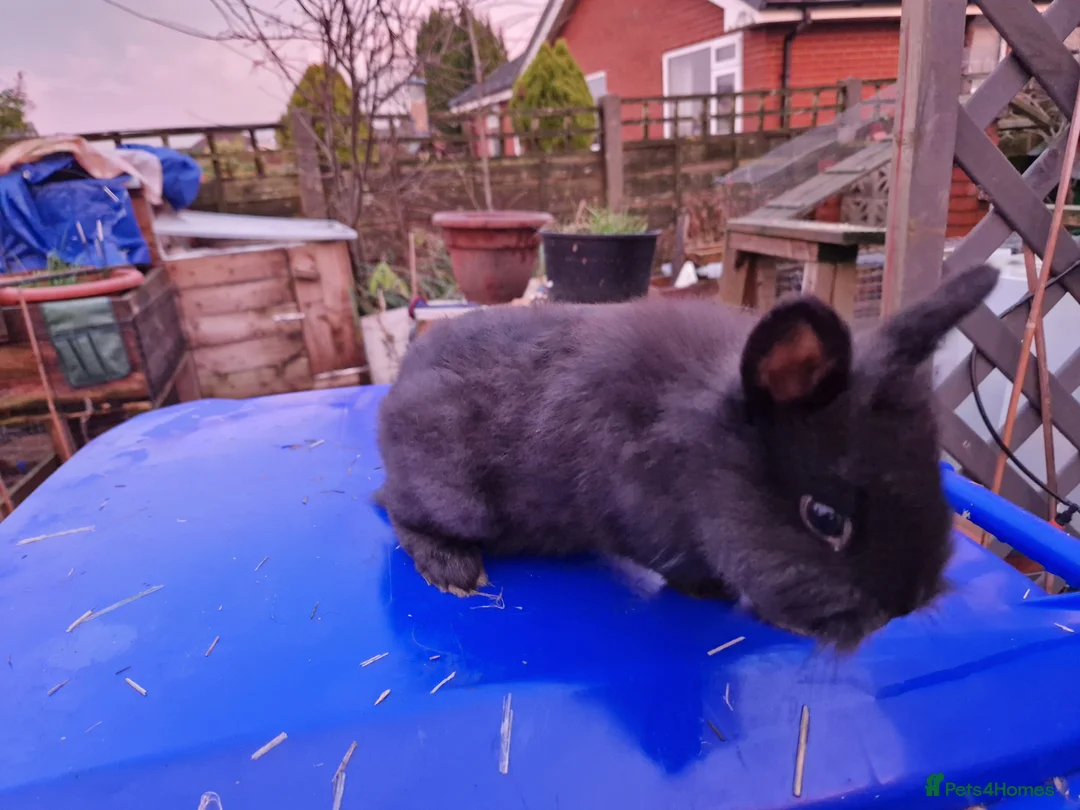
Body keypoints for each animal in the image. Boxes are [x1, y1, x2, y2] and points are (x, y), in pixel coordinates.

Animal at [375, 263, 1000, 649]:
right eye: (824, 518)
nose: (906, 604)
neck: (697, 445)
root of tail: (400, 387)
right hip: (456, 499)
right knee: (397, 512)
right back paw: (453, 571)